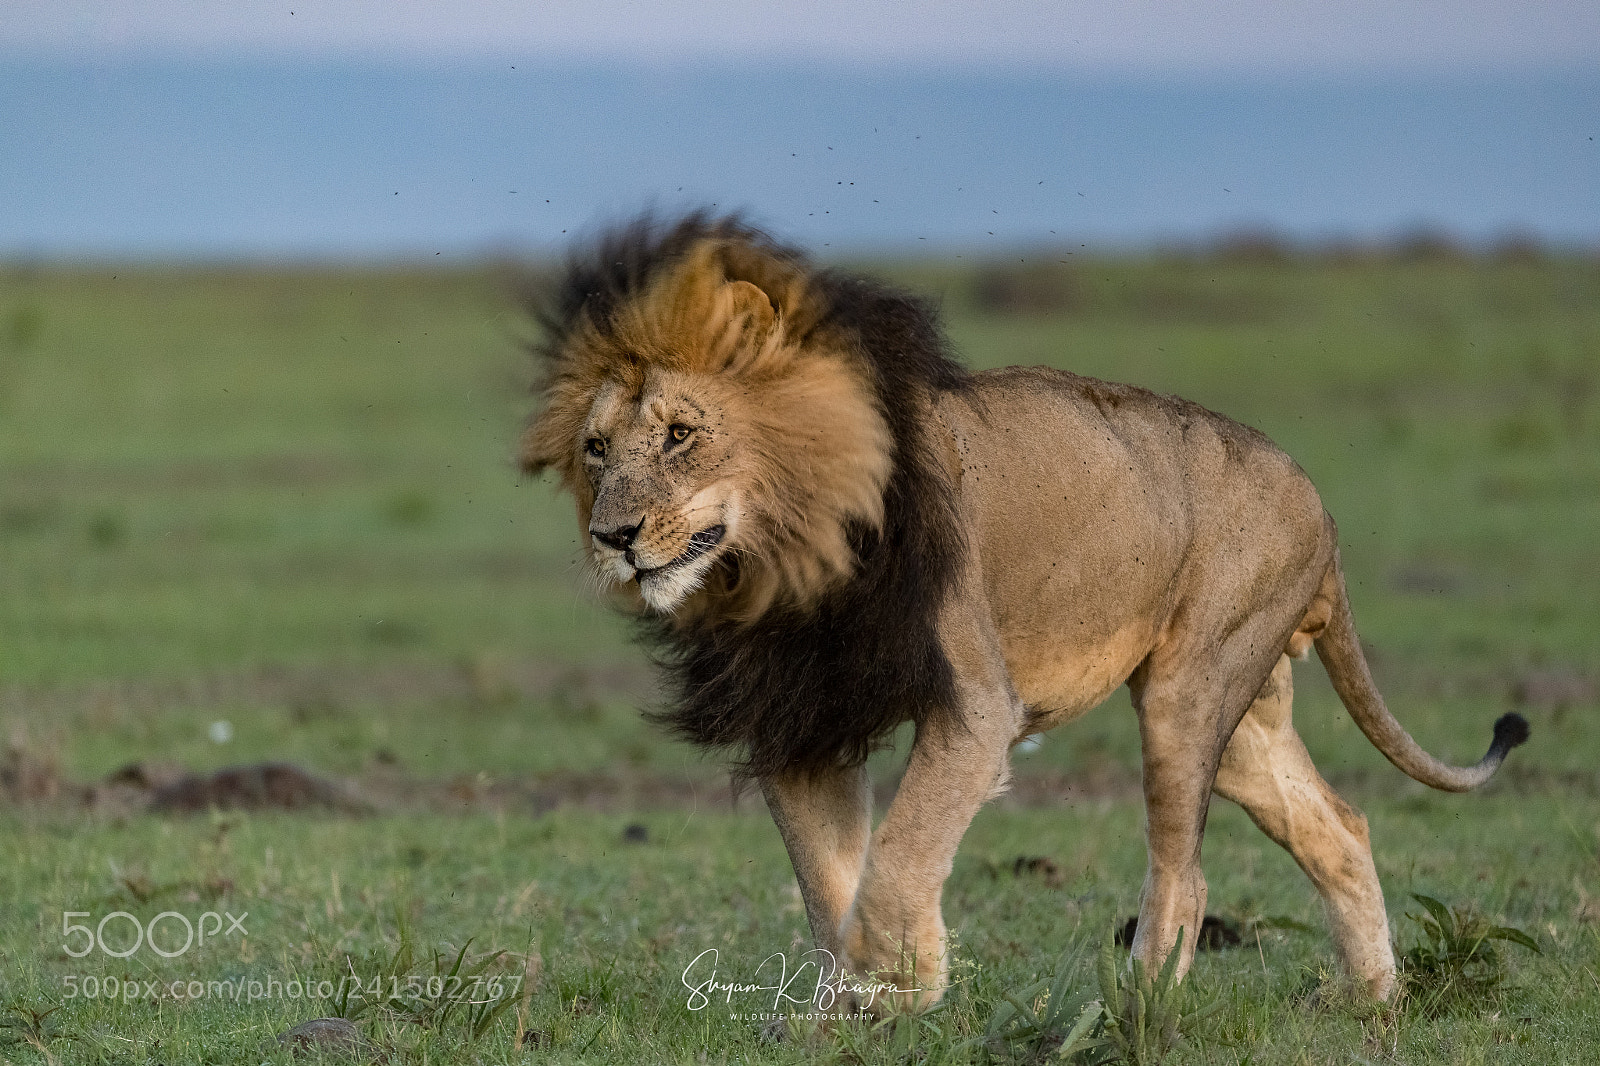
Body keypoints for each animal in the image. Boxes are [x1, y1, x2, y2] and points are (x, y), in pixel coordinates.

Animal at [521, 213, 1529, 1009]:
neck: (777, 569)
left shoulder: (973, 703)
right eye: (597, 449)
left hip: (1189, 692)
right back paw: (1371, 1002)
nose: (613, 536)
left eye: (681, 435)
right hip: (1248, 718)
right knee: (1339, 828)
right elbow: (831, 882)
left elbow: (898, 859)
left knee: (1187, 875)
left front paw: (895, 992)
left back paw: (1139, 1008)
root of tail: (1318, 501)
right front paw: (853, 1010)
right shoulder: (802, 721)